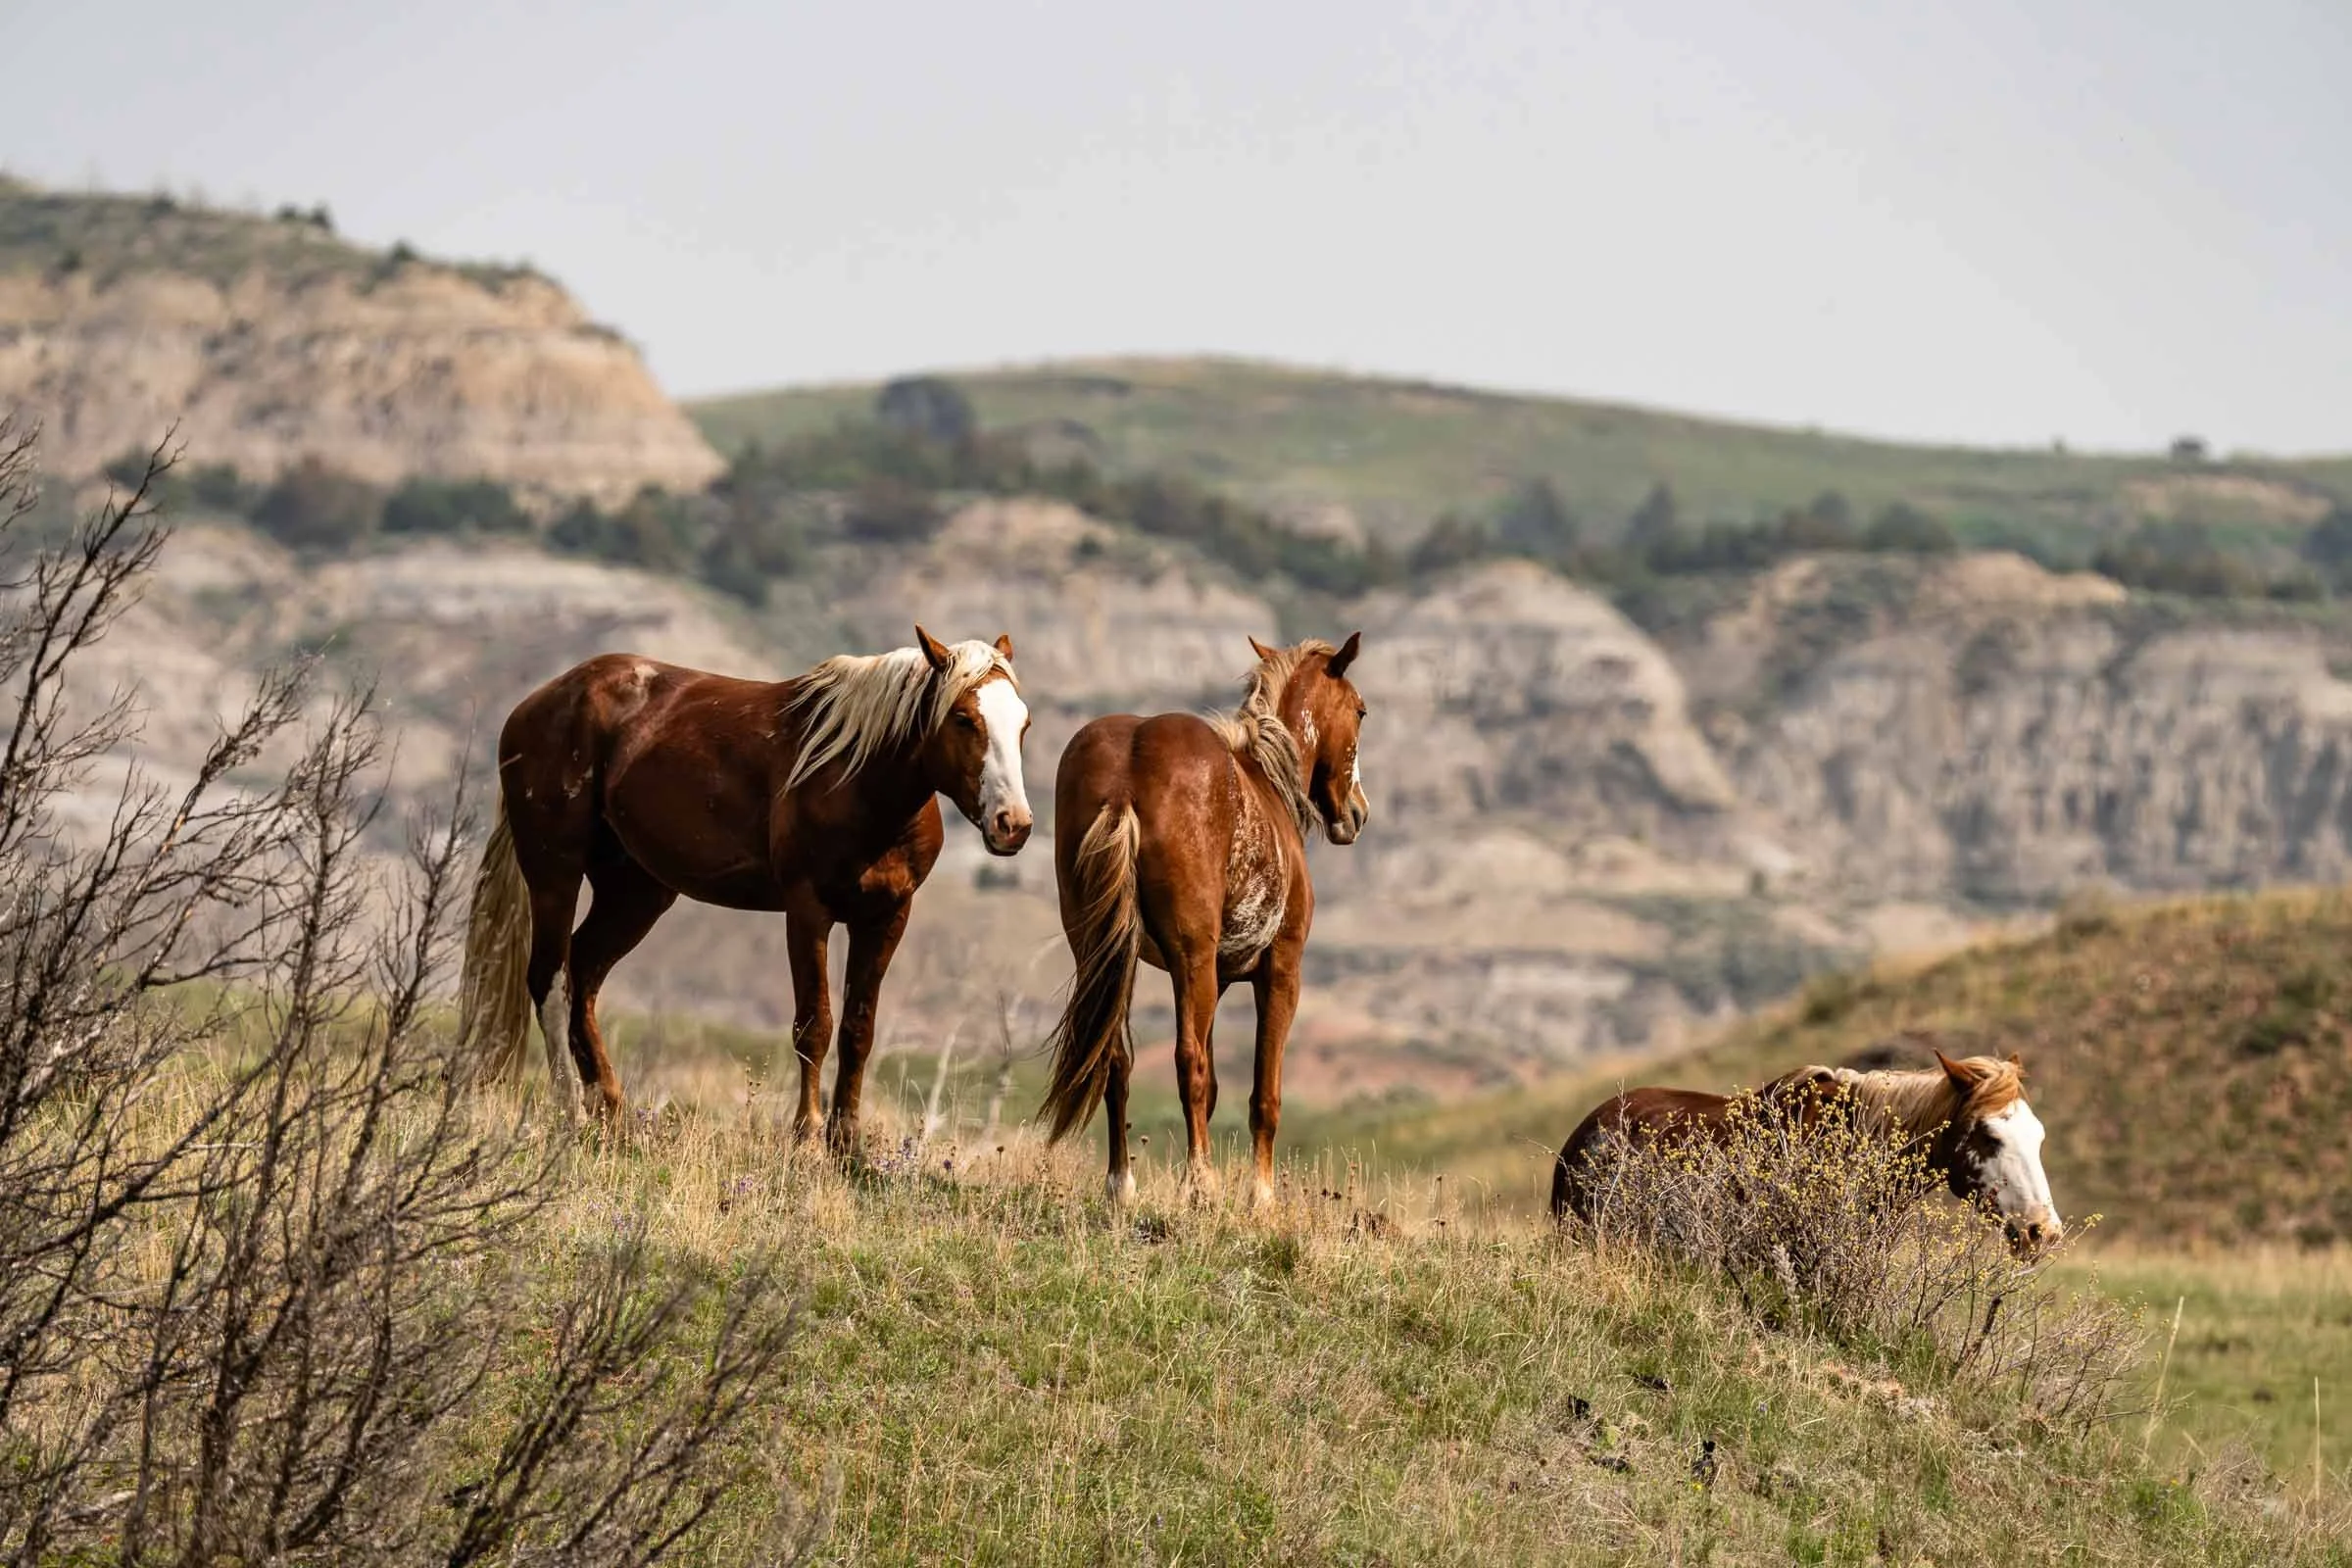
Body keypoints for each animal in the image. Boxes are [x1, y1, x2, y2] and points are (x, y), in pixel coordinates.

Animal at [457, 627, 1033, 1148]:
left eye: (1023, 724)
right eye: (963, 718)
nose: (1013, 824)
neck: (855, 777)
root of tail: (539, 703)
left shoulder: (888, 914)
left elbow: (859, 1028)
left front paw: (850, 1146)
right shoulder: (807, 910)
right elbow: (814, 1024)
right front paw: (807, 1136)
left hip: (637, 892)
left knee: (584, 974)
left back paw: (613, 1113)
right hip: (554, 871)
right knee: (551, 981)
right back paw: (572, 1113)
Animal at [1039, 633, 1370, 1206]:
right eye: (1360, 710)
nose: (1357, 812)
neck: (1265, 781)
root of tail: (1125, 778)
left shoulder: (1211, 977)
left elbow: (1213, 1088)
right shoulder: (1279, 972)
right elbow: (1262, 1094)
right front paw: (1260, 1197)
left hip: (1102, 954)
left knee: (1115, 1060)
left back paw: (1121, 1185)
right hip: (1189, 958)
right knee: (1185, 1062)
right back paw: (1202, 1185)